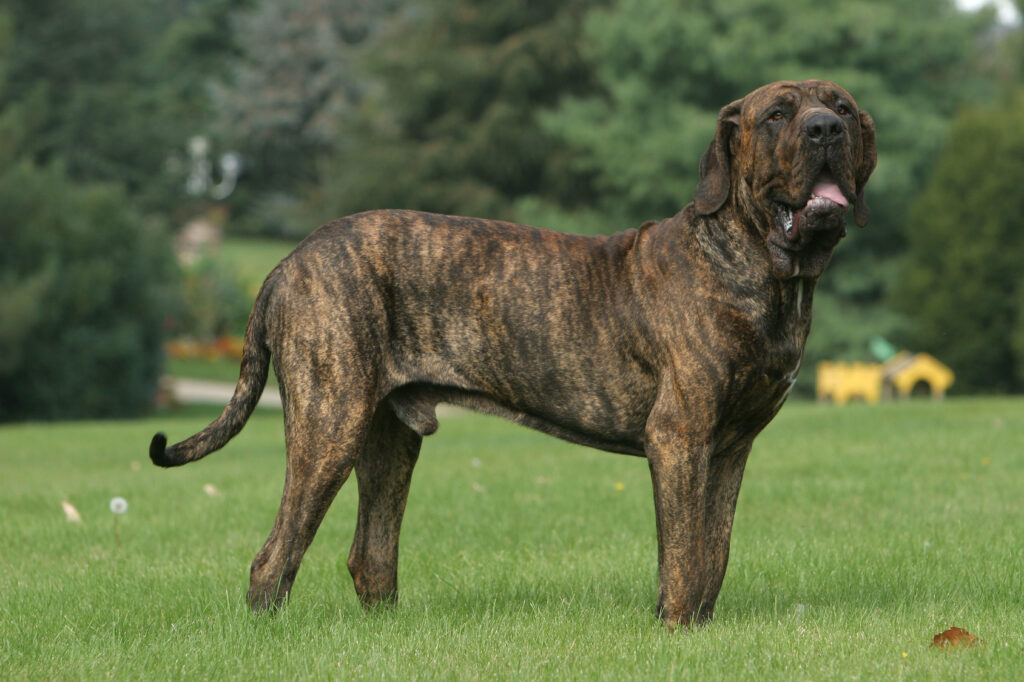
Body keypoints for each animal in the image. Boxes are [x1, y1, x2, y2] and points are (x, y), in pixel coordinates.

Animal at [153, 78, 880, 622]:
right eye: (778, 115)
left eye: (842, 108)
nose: (825, 131)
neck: (760, 267)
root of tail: (287, 262)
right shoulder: (681, 436)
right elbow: (683, 552)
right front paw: (675, 628)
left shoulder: (730, 446)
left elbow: (713, 551)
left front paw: (698, 625)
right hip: (329, 423)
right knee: (274, 556)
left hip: (388, 438)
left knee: (371, 556)